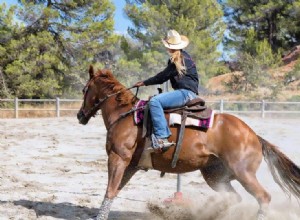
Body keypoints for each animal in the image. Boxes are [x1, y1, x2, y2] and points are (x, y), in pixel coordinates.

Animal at [77, 66, 300, 220]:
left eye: (84, 89)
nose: (80, 115)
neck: (124, 114)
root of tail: (254, 136)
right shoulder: (130, 164)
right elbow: (115, 189)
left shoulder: (118, 158)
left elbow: (110, 189)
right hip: (214, 175)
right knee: (234, 198)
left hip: (243, 173)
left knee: (263, 197)